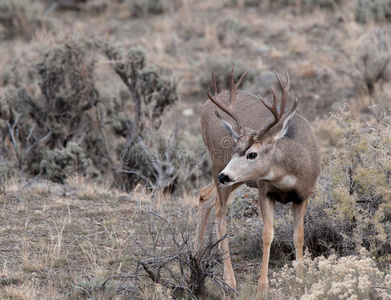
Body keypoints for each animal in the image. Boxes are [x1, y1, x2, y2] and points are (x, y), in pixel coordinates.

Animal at [196, 68, 322, 296]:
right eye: (234, 149)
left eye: (252, 154)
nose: (224, 176)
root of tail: (205, 107)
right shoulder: (265, 191)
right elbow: (267, 234)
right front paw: (262, 288)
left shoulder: (304, 195)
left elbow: (299, 236)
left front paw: (301, 280)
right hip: (218, 165)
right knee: (220, 211)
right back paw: (229, 280)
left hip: (235, 180)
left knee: (204, 195)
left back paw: (193, 259)